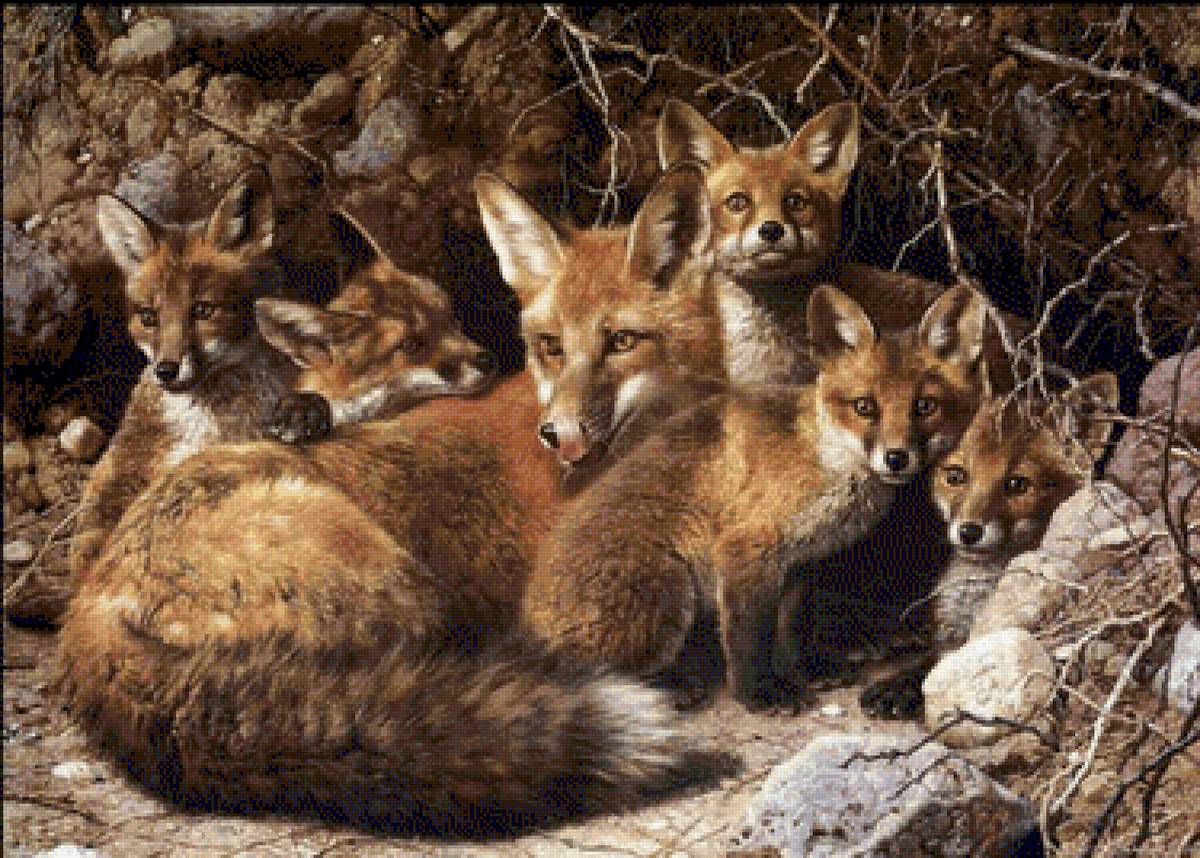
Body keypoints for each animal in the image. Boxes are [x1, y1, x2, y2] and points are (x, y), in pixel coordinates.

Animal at [521, 283, 991, 708]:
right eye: (865, 407)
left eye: (924, 406)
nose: (897, 458)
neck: (820, 457)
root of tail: (524, 620)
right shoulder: (747, 546)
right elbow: (749, 638)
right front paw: (759, 694)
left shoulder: (801, 561)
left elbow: (791, 629)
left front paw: (809, 670)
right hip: (668, 592)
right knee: (599, 677)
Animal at [860, 372, 1120, 718]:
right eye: (956, 476)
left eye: (1017, 484)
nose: (969, 531)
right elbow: (929, 661)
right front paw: (896, 681)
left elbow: (937, 670)